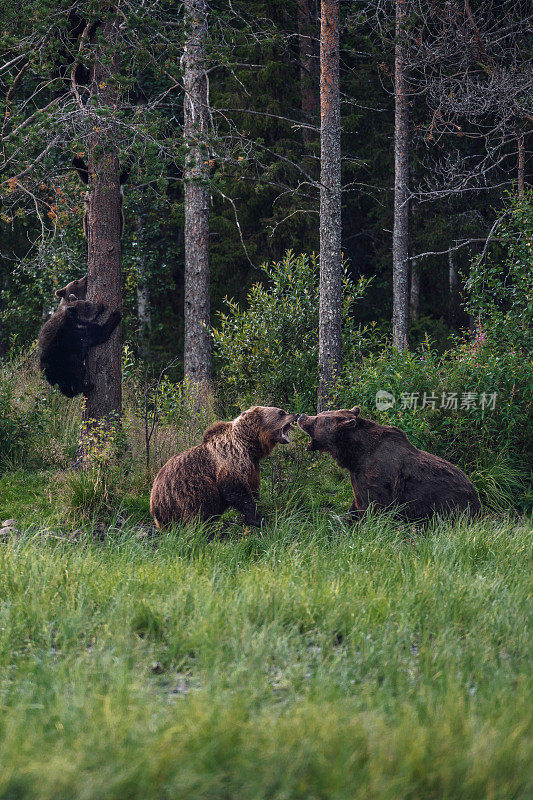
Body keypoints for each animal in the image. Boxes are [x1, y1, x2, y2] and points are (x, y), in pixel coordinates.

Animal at [151, 406, 300, 532]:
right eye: (281, 412)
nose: (296, 414)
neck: (249, 445)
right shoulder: (231, 460)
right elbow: (236, 490)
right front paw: (257, 519)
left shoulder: (252, 466)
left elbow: (253, 487)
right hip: (187, 489)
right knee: (199, 511)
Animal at [298, 410, 480, 520]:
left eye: (318, 418)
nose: (301, 416)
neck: (355, 456)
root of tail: (475, 492)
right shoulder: (358, 478)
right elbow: (356, 507)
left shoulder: (377, 477)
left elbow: (376, 508)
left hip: (449, 502)